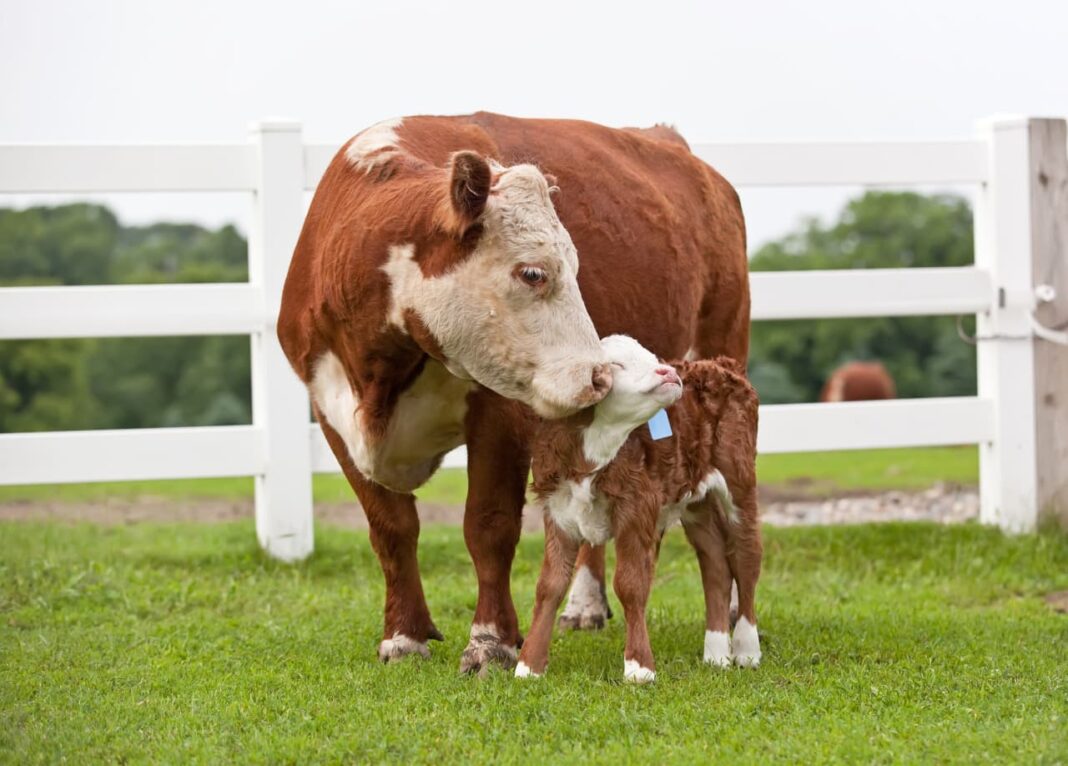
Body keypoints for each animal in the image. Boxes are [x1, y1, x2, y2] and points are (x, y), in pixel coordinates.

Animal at [518, 336, 762, 682]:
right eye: (616, 365)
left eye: (653, 357)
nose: (668, 372)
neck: (592, 454)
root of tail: (719, 364)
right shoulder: (558, 511)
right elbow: (549, 585)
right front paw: (528, 666)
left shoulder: (636, 509)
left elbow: (630, 584)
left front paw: (639, 668)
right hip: (695, 500)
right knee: (715, 562)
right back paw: (716, 655)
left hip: (739, 482)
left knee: (746, 556)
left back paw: (746, 650)